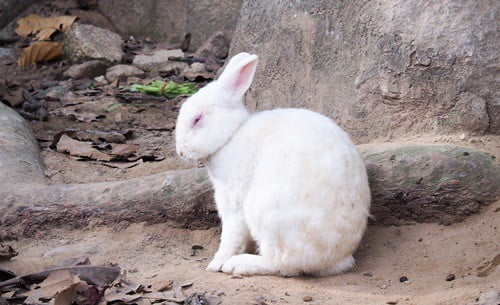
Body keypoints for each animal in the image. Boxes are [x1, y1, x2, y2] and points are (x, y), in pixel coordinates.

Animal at [176, 52, 372, 276]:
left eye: (197, 119)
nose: (180, 151)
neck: (232, 134)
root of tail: (333, 260)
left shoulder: (232, 202)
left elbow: (231, 236)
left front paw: (216, 263)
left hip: (265, 214)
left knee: (280, 263)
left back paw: (238, 264)